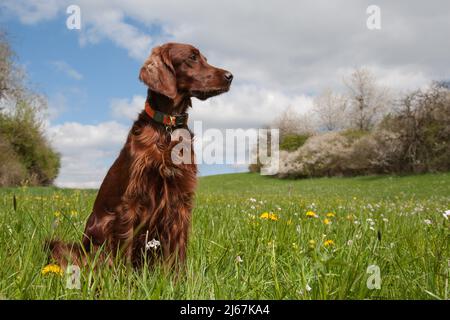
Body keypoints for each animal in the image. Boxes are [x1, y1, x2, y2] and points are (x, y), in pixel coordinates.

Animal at [48, 42, 234, 268]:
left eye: (205, 58)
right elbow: (125, 250)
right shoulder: (131, 201)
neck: (167, 128)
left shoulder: (181, 200)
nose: (230, 76)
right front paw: (124, 278)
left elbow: (178, 251)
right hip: (102, 226)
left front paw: (178, 278)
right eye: (192, 57)